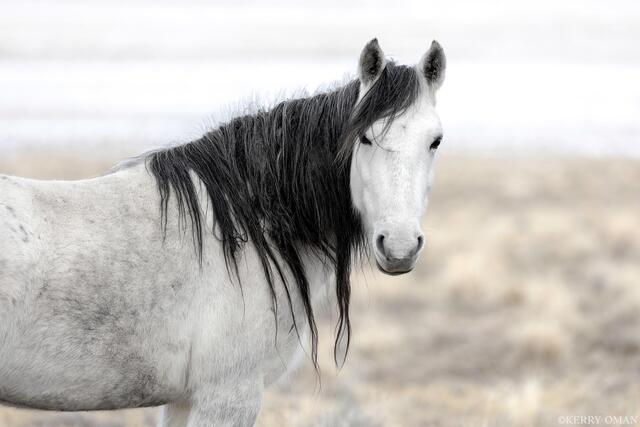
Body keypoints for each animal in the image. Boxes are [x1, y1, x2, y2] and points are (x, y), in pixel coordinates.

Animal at [0, 38, 446, 426]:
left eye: (435, 141)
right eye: (365, 137)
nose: (400, 246)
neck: (244, 229)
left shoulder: (184, 399)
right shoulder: (228, 395)